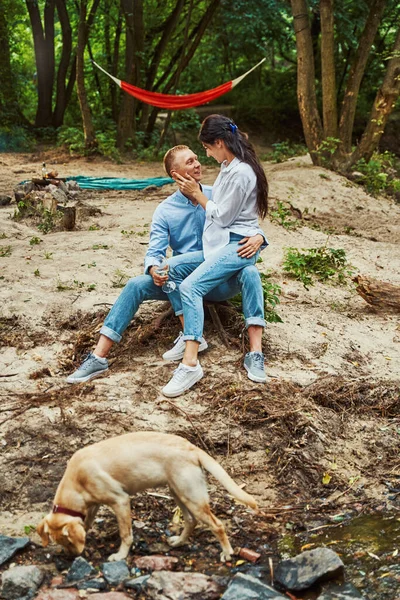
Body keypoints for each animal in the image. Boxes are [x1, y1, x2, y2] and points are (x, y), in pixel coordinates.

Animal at [37, 432, 256, 564]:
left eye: (67, 542)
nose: (72, 557)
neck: (76, 481)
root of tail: (191, 447)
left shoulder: (120, 501)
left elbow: (126, 534)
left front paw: (120, 555)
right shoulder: (93, 504)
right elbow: (87, 522)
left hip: (191, 496)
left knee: (217, 525)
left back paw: (227, 552)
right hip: (178, 492)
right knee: (191, 520)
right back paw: (179, 542)